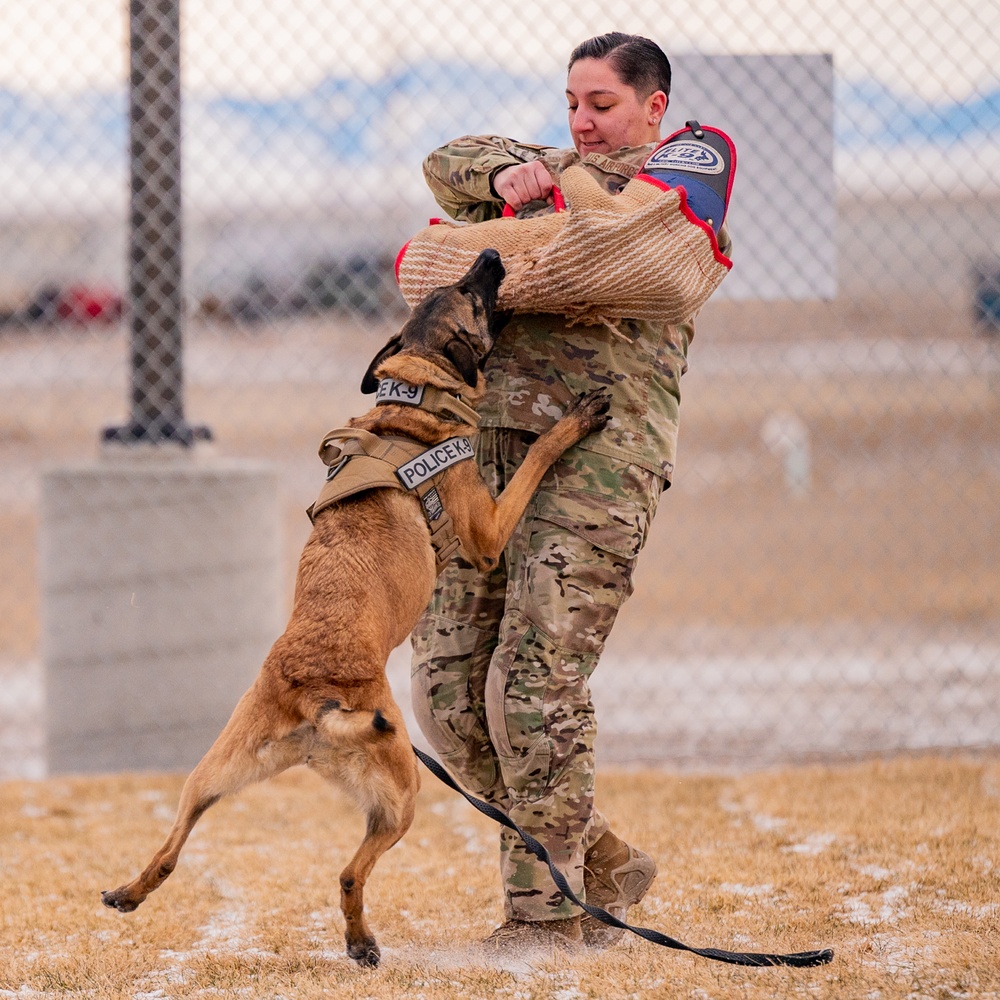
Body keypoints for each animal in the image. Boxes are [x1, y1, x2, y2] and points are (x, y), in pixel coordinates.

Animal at [105, 250, 612, 968]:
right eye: (472, 295)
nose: (489, 255)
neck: (411, 404)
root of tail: (319, 699)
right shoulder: (487, 532)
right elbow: (536, 457)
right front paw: (575, 420)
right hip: (403, 798)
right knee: (349, 873)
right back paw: (362, 943)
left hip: (212, 775)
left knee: (174, 844)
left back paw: (128, 892)